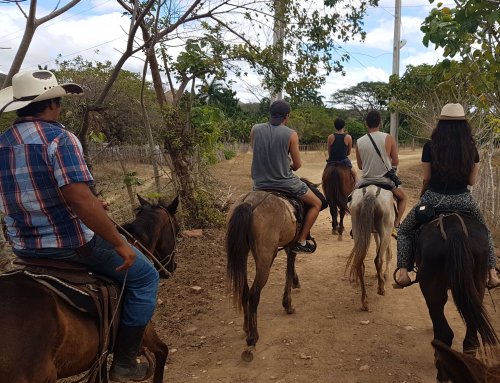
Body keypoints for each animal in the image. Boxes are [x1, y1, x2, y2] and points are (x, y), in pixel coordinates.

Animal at [226, 190, 310, 364]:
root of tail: (249, 202)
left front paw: (295, 283)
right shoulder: (292, 244)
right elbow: (288, 269)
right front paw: (288, 305)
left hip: (242, 252)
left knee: (244, 290)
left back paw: (247, 328)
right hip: (265, 257)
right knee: (254, 293)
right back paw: (252, 340)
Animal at [416, 214, 498, 382]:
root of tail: (455, 228)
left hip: (429, 287)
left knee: (444, 334)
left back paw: (442, 373)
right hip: (478, 283)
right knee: (471, 338)